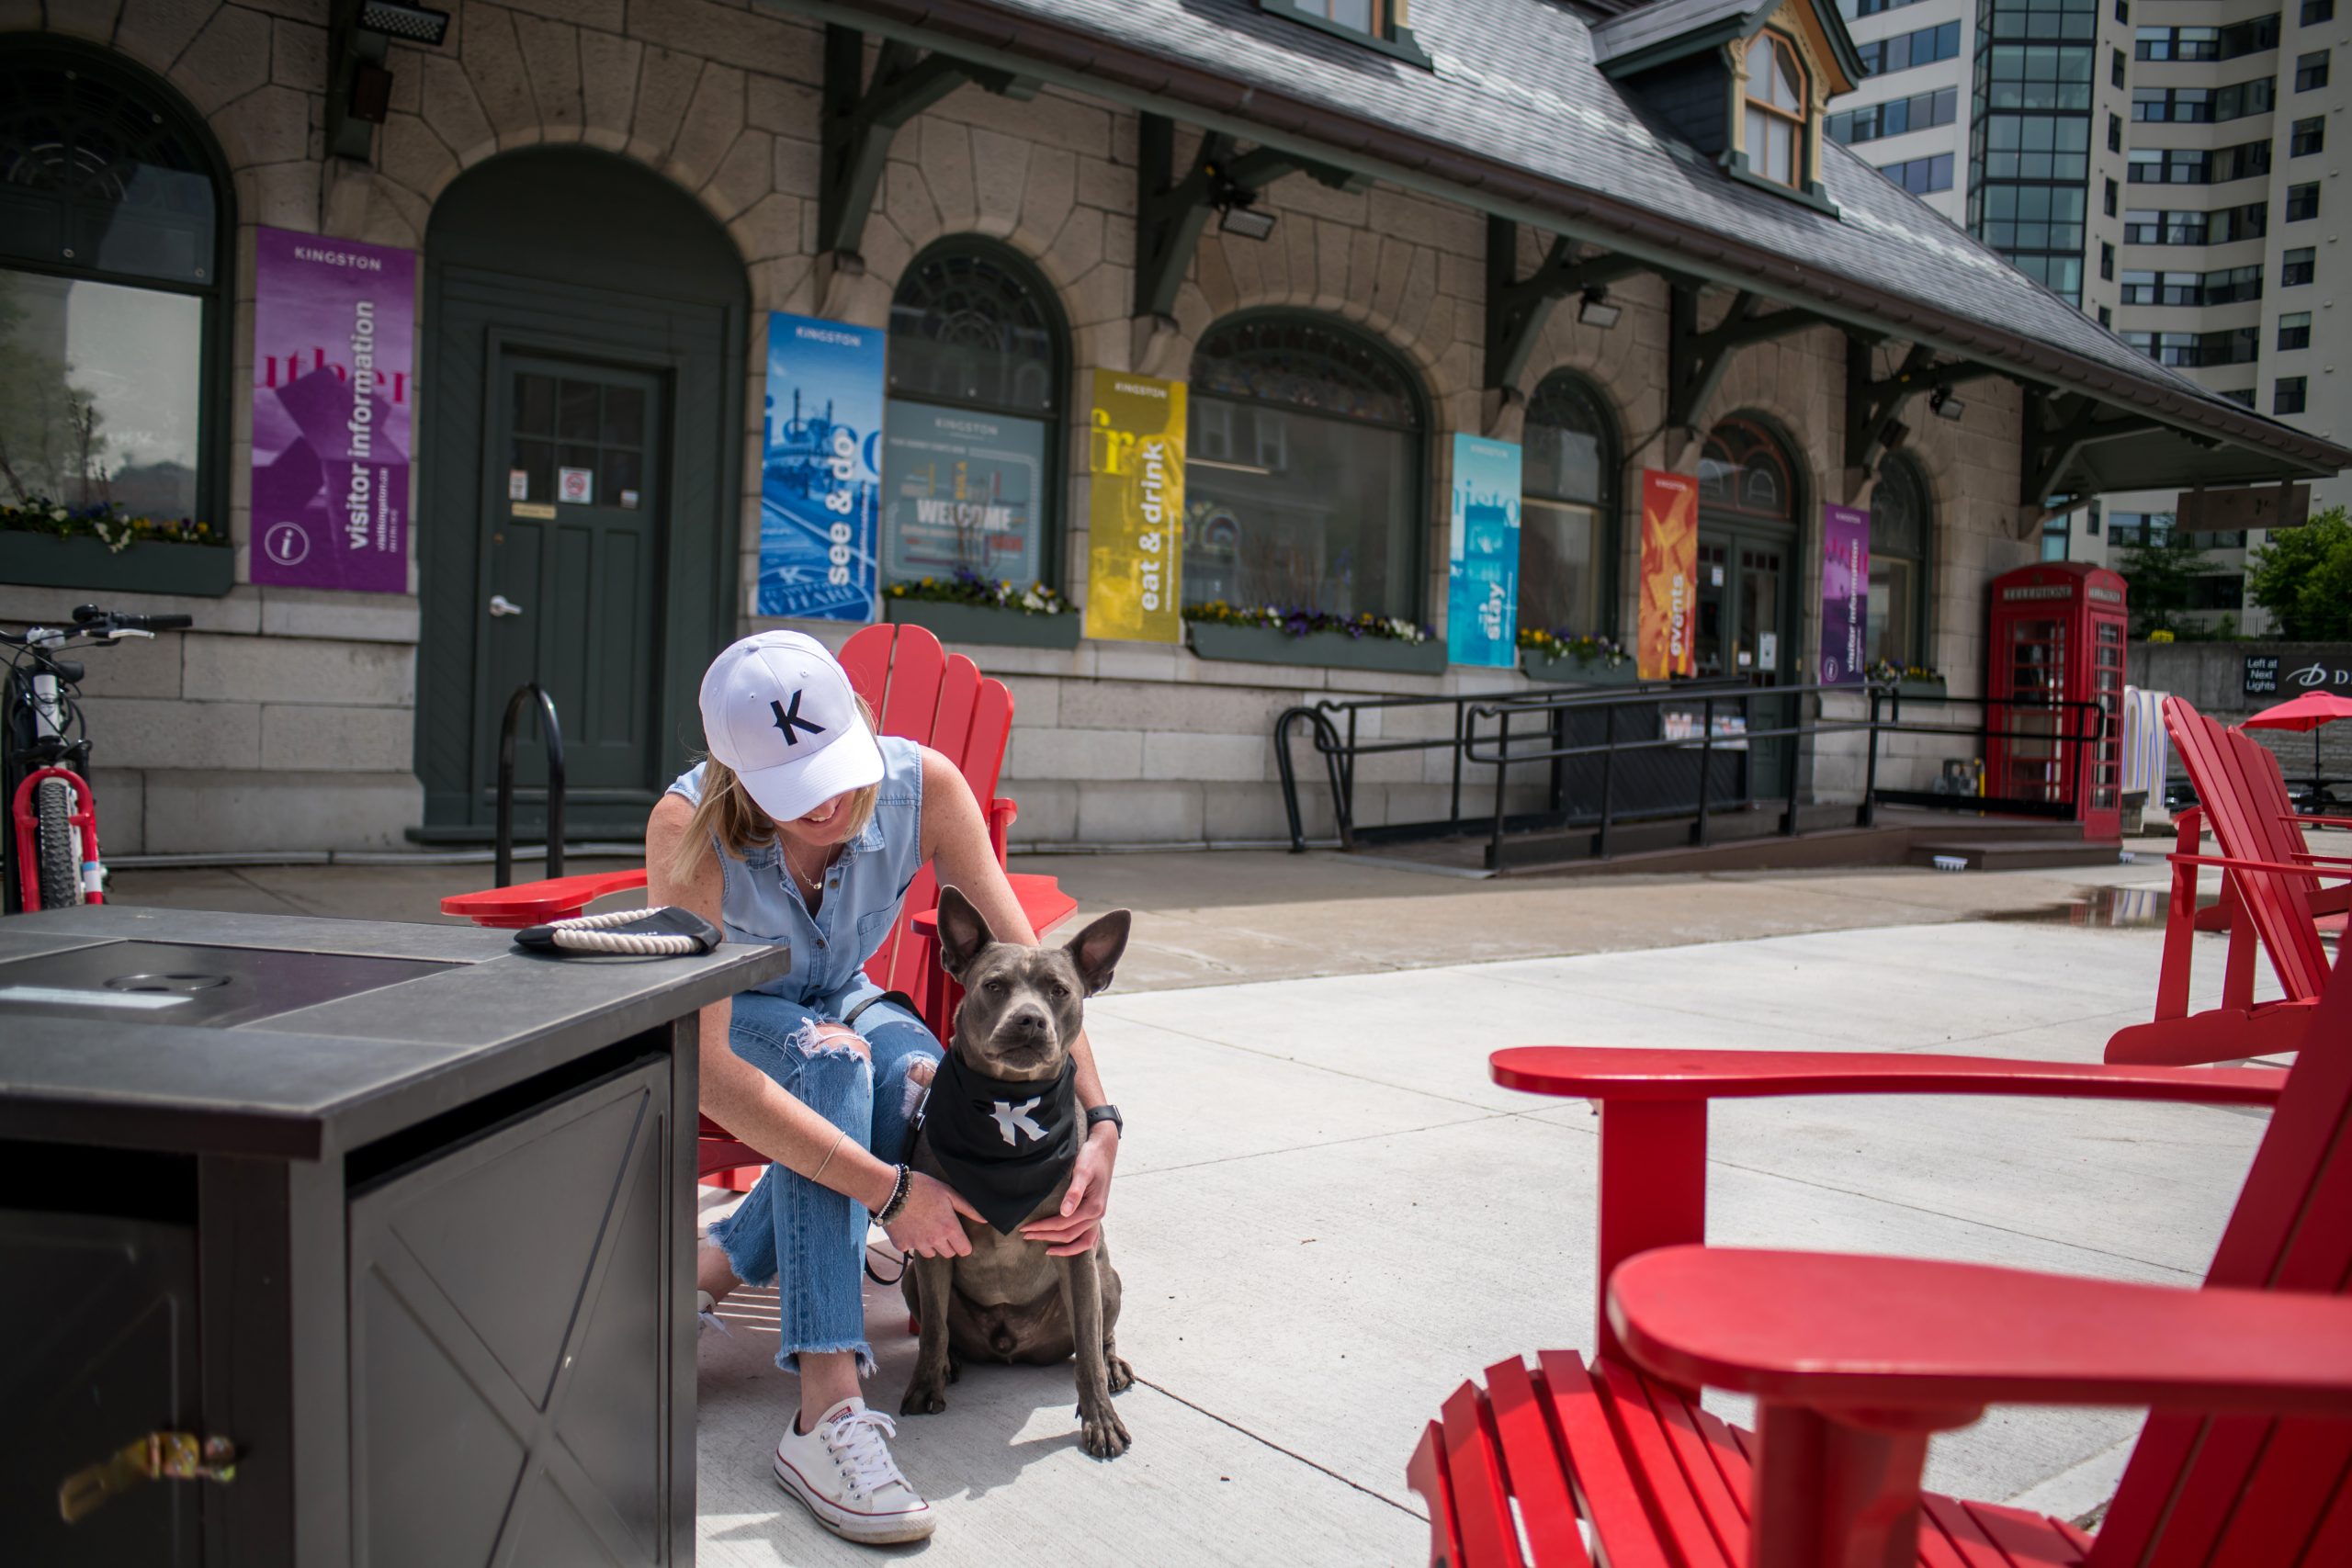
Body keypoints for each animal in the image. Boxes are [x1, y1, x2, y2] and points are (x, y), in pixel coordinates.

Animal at [893, 884, 1133, 1457]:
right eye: (994, 985)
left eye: (1060, 991)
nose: (1029, 1019)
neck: (1007, 1101)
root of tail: (1011, 1345)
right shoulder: (932, 1246)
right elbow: (931, 1331)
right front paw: (925, 1384)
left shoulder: (1076, 1250)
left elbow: (1087, 1348)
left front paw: (1100, 1418)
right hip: (912, 1275)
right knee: (941, 1327)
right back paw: (952, 1362)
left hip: (1106, 1276)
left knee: (1099, 1335)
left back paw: (1113, 1364)